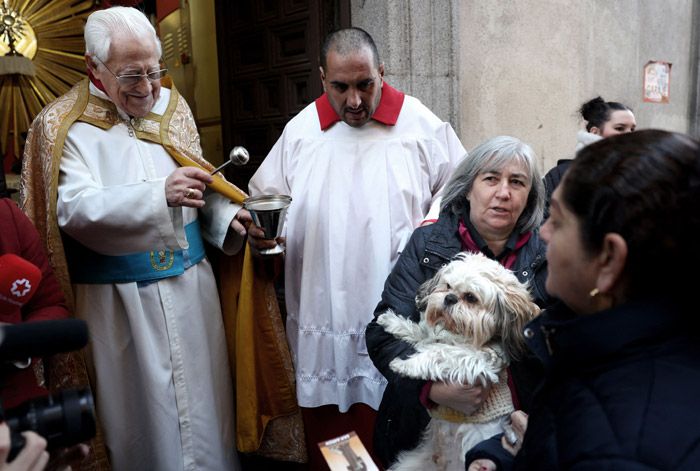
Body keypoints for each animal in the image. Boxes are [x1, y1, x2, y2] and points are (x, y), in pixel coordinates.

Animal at [378, 254, 536, 471]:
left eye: (471, 297)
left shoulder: (478, 360)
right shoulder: (434, 338)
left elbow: (440, 352)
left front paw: (405, 365)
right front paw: (392, 321)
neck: (458, 334)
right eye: (448, 286)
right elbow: (421, 333)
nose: (449, 298)